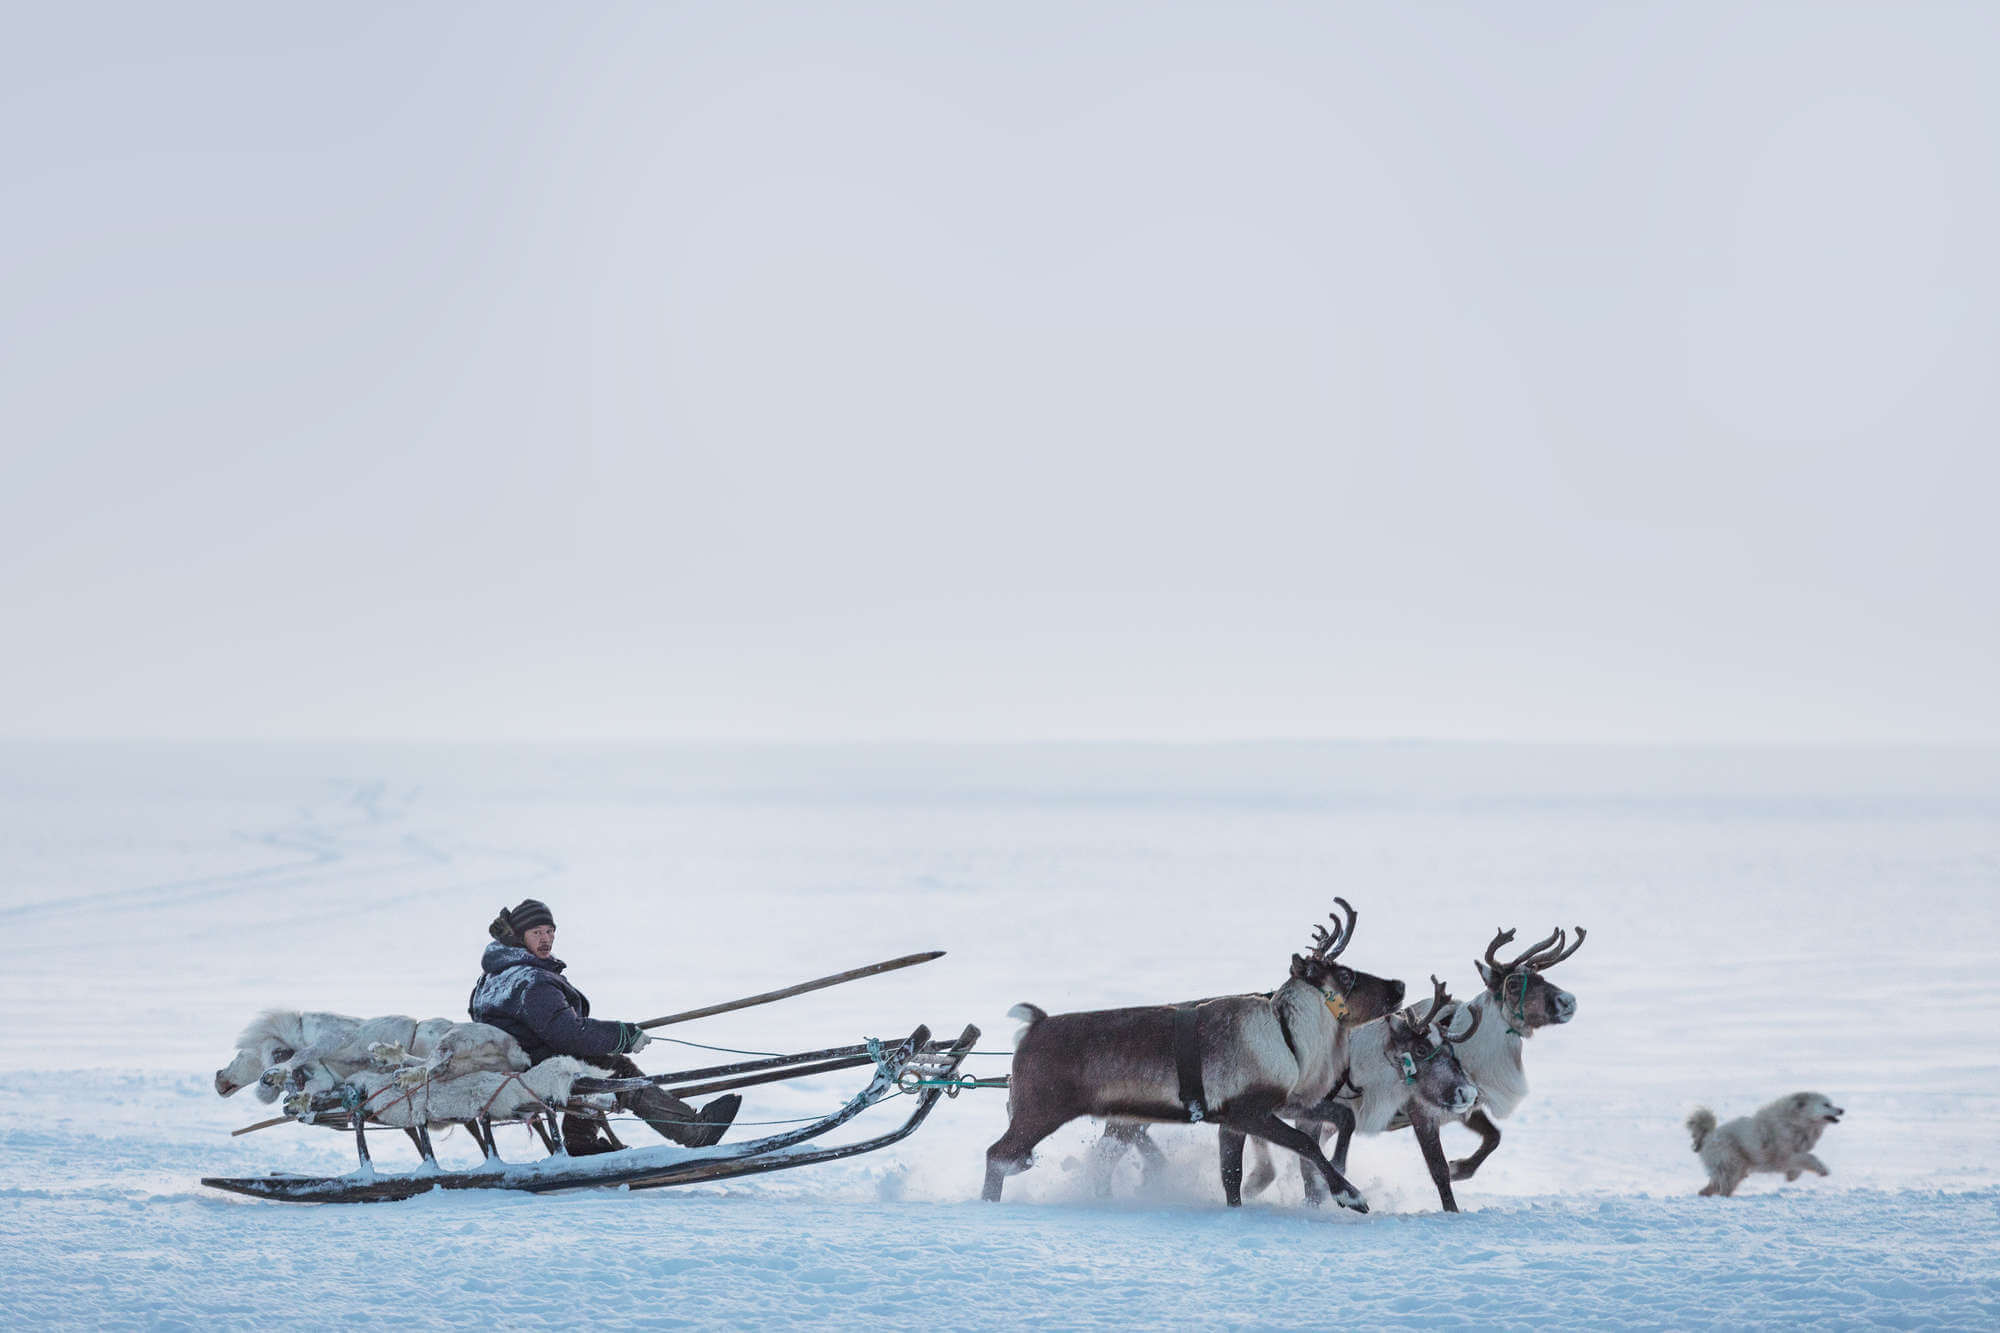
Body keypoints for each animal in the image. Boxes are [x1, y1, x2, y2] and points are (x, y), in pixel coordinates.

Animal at [1688, 1088, 1840, 1192]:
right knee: (1720, 1189)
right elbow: (1809, 1158)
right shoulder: (1784, 1156)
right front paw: (1822, 1170)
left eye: (1831, 1103)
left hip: (1734, 1169)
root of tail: (1708, 1136)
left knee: (1709, 1189)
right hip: (1731, 1166)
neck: (1794, 1123)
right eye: (1826, 1105)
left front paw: (1791, 1176)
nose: (1841, 1110)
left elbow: (1801, 1162)